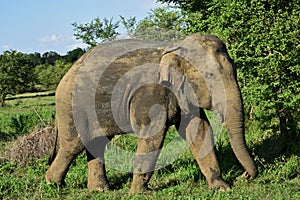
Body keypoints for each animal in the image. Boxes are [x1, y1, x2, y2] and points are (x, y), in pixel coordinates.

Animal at [45, 33, 256, 193]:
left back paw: (100, 190)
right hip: (71, 106)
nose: (245, 175)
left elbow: (199, 130)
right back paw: (53, 184)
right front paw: (140, 193)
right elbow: (152, 135)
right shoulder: (150, 93)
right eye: (211, 75)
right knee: (73, 146)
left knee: (97, 143)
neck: (175, 48)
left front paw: (221, 188)